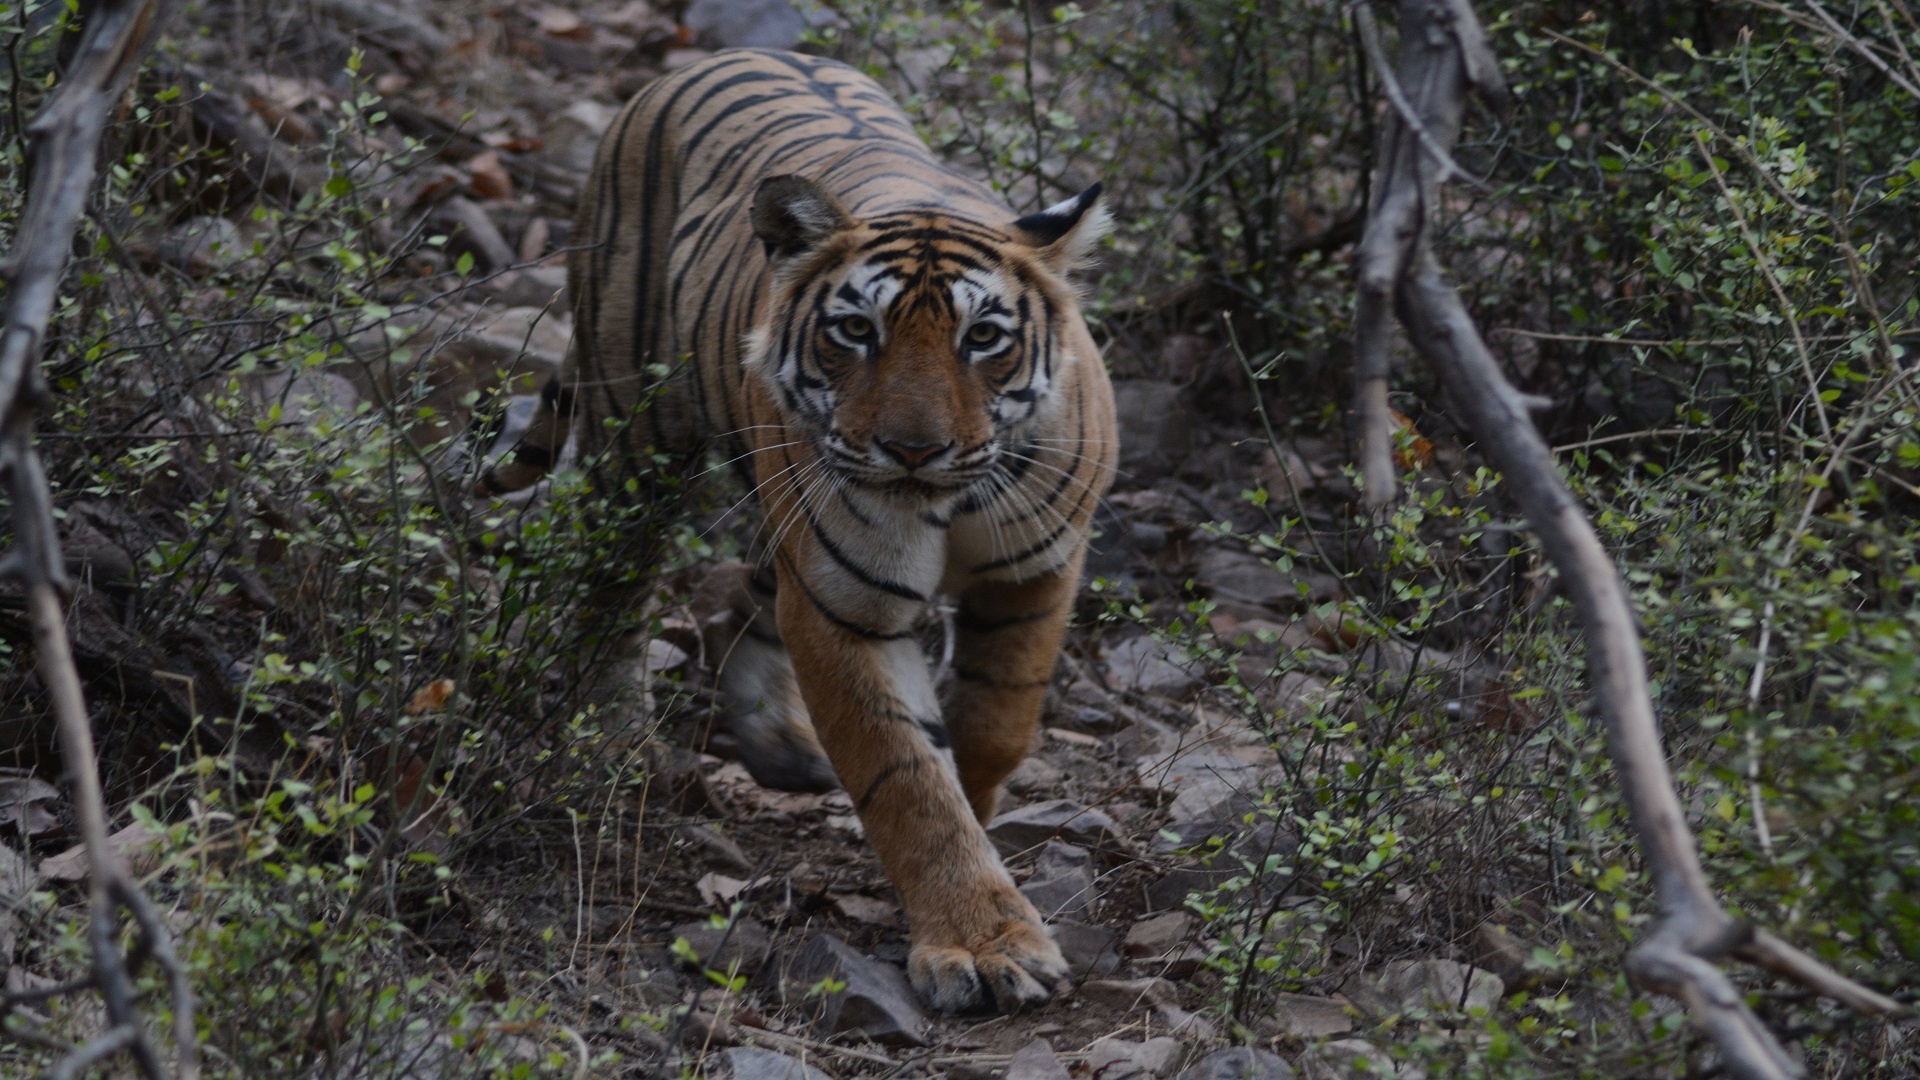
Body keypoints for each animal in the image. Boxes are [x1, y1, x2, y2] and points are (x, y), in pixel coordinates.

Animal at [480, 50, 1121, 1006]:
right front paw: (979, 940)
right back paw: (619, 738)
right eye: (855, 331)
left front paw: (981, 838)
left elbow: (995, 725)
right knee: (614, 590)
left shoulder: (1033, 574)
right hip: (636, 433)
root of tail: (710, 58)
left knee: (743, 594)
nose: (913, 450)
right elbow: (906, 777)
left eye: (984, 338)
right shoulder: (845, 608)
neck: (948, 502)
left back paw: (781, 742)